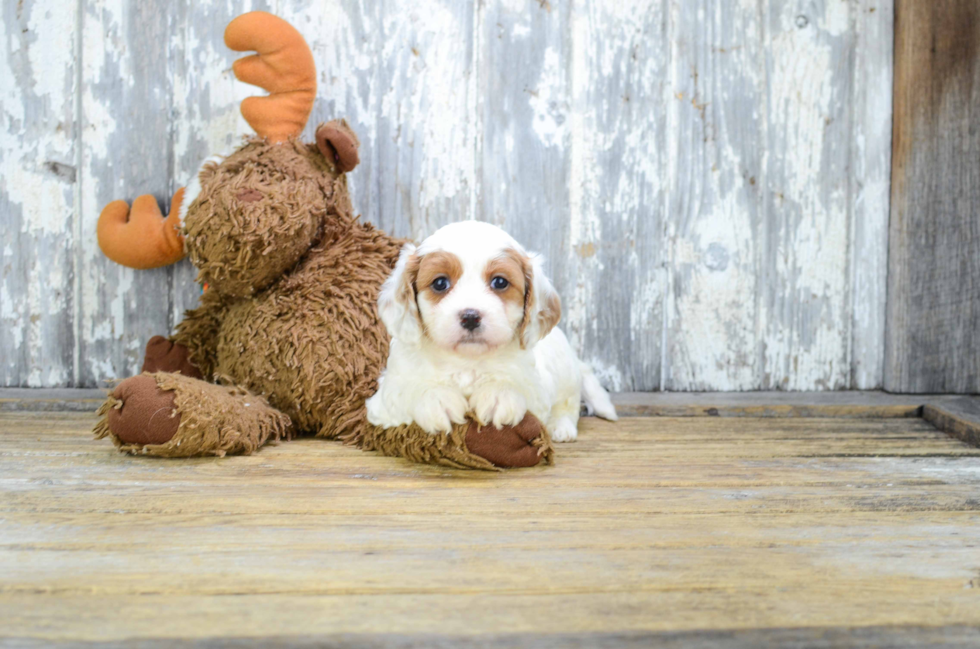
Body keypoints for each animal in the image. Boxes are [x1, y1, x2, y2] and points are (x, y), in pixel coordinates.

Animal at [364, 220, 616, 442]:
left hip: (566, 375)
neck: (466, 361)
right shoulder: (384, 397)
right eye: (440, 283)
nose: (470, 316)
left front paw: (498, 395)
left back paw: (561, 428)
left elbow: (519, 389)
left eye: (500, 282)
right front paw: (437, 399)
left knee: (567, 405)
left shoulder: (537, 387)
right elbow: (406, 391)